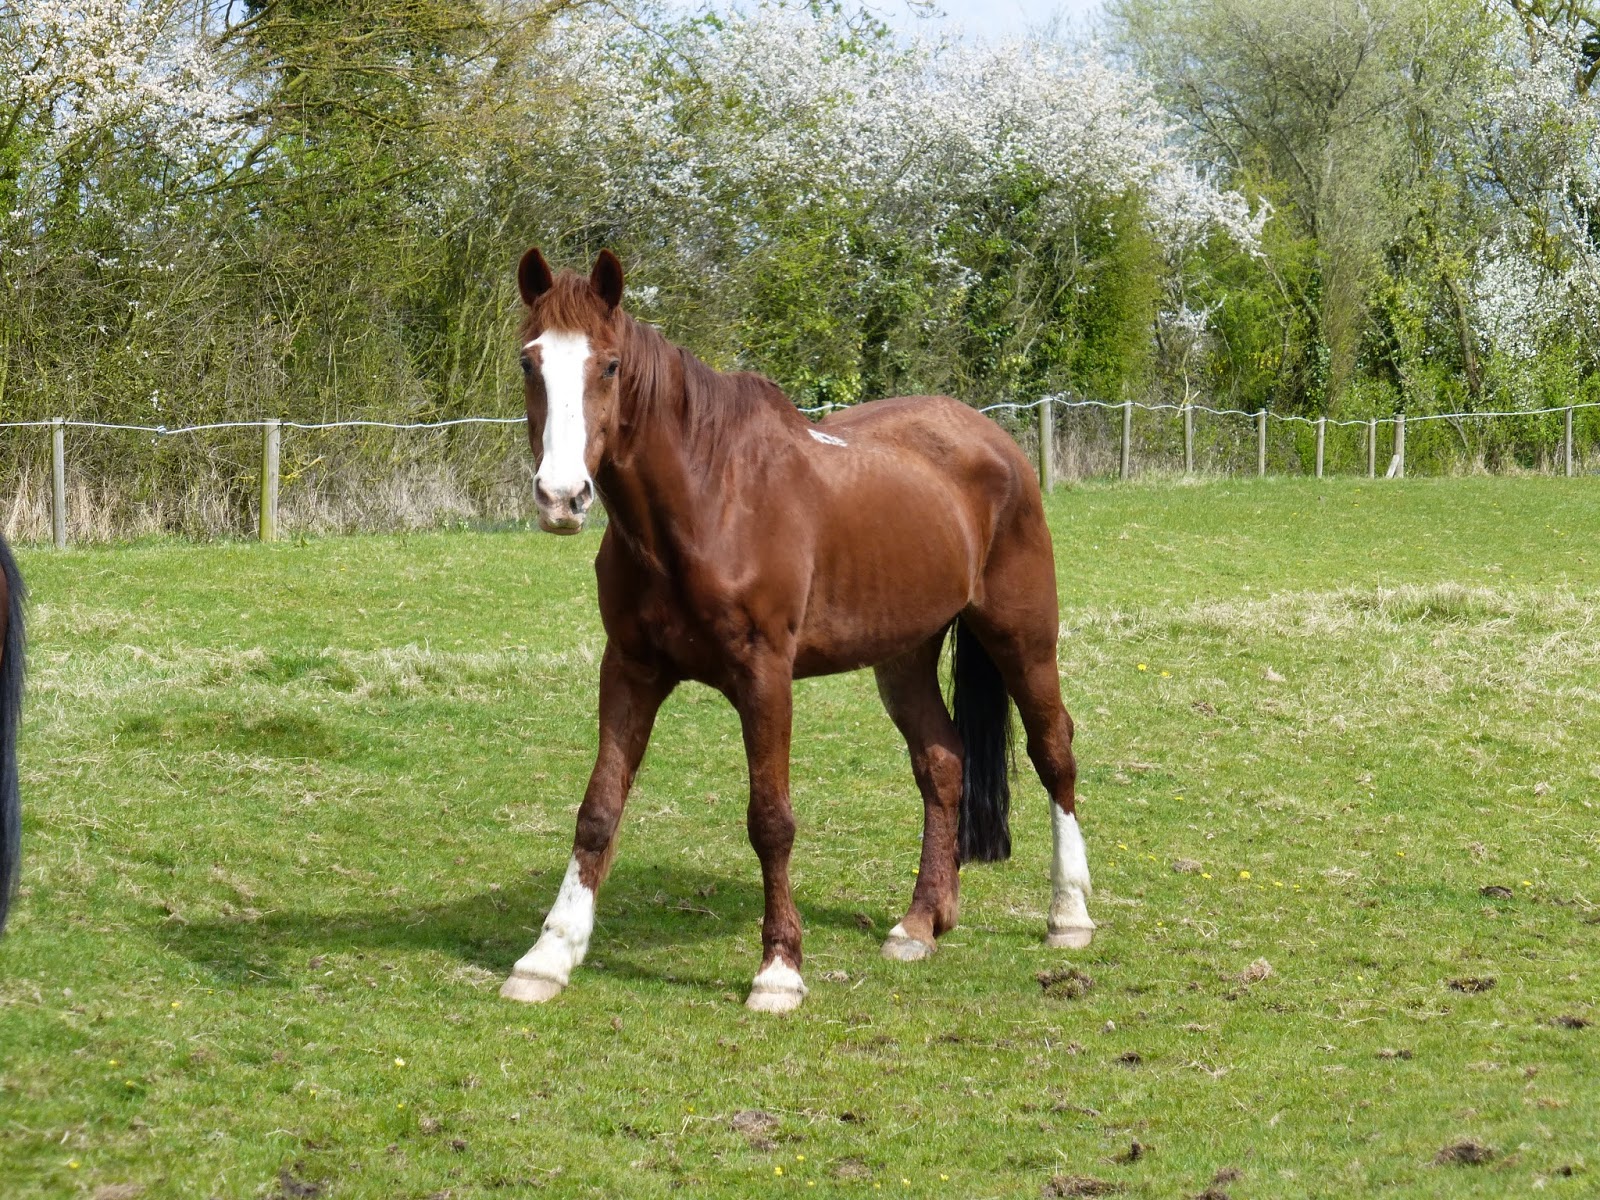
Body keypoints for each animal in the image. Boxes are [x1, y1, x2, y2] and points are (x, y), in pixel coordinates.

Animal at [500, 249, 1094, 1013]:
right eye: (529, 362)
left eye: (608, 364)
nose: (561, 497)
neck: (709, 499)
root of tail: (996, 443)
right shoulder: (630, 667)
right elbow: (599, 809)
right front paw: (548, 956)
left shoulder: (765, 676)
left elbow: (771, 820)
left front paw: (778, 970)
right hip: (904, 655)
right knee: (942, 762)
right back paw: (920, 922)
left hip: (1022, 635)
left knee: (1054, 750)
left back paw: (1069, 915)